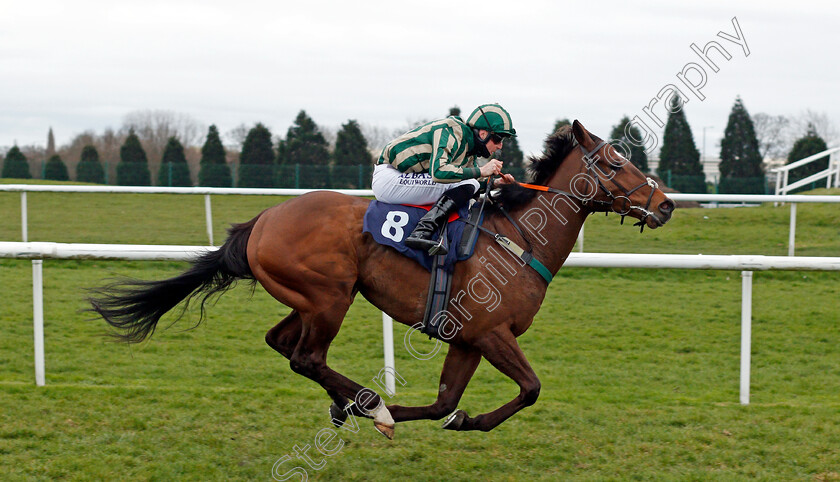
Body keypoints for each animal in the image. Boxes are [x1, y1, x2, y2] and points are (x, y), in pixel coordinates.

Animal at [88, 119, 676, 436]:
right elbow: (530, 389)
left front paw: (457, 420)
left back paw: (352, 402)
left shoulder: (468, 338)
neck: (519, 238)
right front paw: (392, 411)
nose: (666, 204)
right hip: (330, 297)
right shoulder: (492, 333)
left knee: (281, 343)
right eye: (615, 161)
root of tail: (262, 220)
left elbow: (445, 404)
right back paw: (368, 404)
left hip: (309, 298)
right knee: (306, 357)